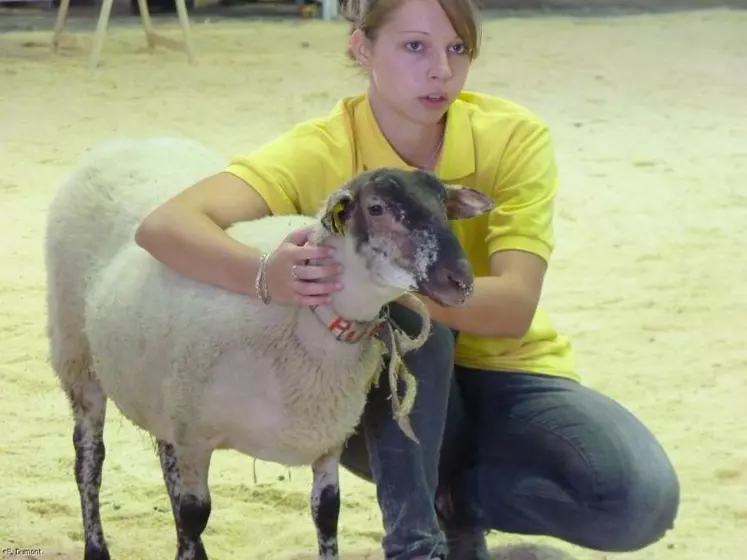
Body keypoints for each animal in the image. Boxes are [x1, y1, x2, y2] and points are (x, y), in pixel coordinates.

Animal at [43, 137, 494, 560]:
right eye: (377, 208)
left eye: (444, 206)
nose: (461, 280)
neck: (311, 322)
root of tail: (126, 142)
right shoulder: (194, 433)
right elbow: (194, 514)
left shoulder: (327, 436)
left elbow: (327, 512)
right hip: (78, 359)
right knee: (89, 460)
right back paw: (96, 547)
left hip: (157, 387)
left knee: (164, 460)